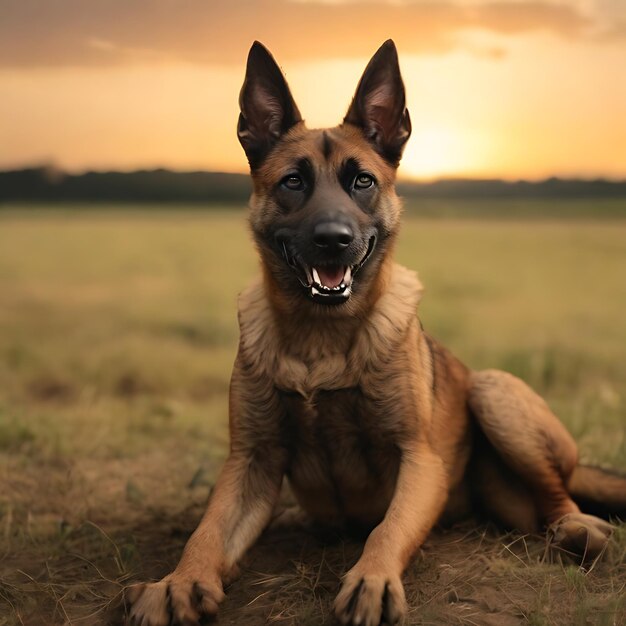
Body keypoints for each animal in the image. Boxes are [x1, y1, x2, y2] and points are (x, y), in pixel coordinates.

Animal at [128, 40, 624, 624]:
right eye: (293, 181)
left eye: (362, 181)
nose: (333, 239)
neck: (320, 339)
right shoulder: (250, 462)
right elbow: (205, 534)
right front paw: (177, 582)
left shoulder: (419, 461)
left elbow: (386, 530)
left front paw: (373, 579)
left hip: (493, 390)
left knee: (558, 498)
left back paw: (578, 529)